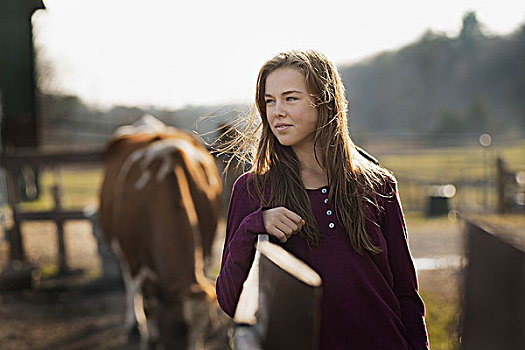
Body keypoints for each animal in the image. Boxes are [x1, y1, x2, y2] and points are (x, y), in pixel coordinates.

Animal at [99, 114, 222, 348]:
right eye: (176, 326)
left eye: (208, 329)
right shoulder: (134, 257)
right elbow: (147, 304)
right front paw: (149, 337)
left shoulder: (205, 251)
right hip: (123, 251)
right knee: (130, 285)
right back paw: (133, 325)